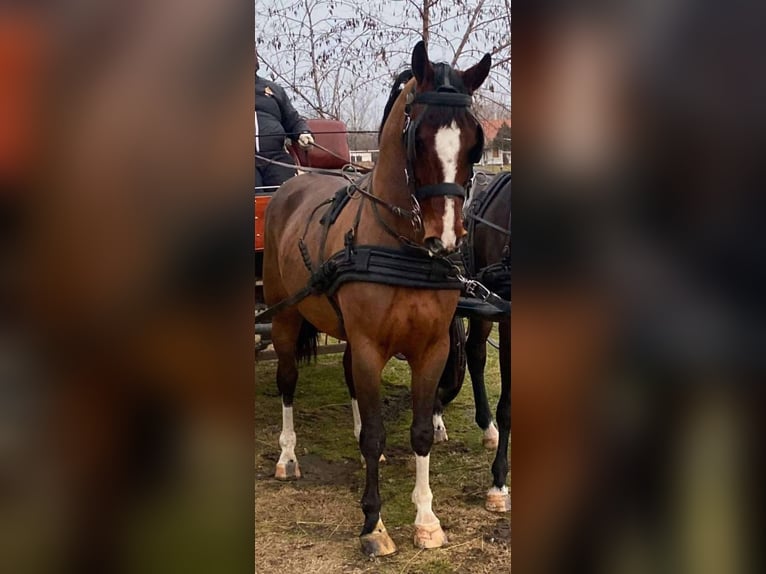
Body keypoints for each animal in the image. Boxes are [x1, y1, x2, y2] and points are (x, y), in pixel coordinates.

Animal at [262, 41, 490, 556]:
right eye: (418, 139)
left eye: (474, 143)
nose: (446, 238)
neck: (402, 246)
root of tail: (292, 182)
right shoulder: (369, 345)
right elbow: (375, 435)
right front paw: (374, 525)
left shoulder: (433, 347)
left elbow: (420, 431)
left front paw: (426, 520)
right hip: (285, 317)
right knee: (287, 381)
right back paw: (287, 456)